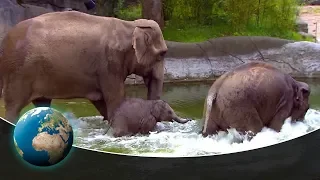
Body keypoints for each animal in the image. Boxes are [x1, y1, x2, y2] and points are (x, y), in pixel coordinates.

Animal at [0, 10, 169, 124]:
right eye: (162, 54)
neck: (130, 25)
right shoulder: (109, 64)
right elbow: (116, 100)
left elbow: (102, 101)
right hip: (18, 73)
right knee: (14, 106)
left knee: (42, 103)